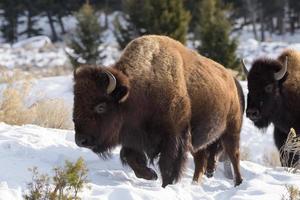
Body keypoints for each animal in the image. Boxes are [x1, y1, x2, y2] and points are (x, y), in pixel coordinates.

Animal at [72, 34, 244, 188]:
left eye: (101, 106)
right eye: (76, 101)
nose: (81, 140)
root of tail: (231, 79)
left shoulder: (173, 138)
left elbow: (167, 167)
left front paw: (165, 185)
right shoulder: (134, 138)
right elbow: (131, 157)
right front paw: (151, 175)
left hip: (231, 130)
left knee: (234, 155)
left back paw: (238, 183)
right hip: (200, 140)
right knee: (200, 160)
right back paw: (195, 183)